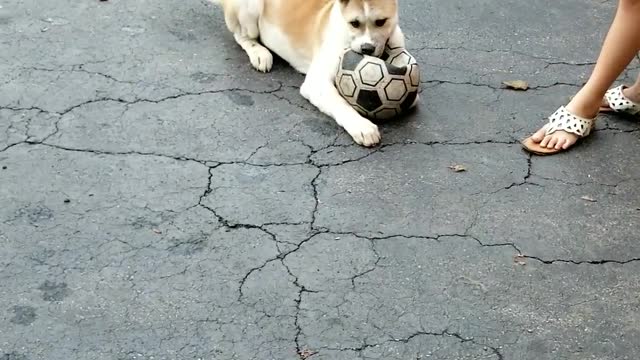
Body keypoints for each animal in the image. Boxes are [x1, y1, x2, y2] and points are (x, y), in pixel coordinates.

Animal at [212, 0, 408, 148]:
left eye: (381, 21)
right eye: (354, 23)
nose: (367, 48)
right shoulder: (316, 83)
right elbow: (340, 103)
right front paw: (360, 125)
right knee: (241, 36)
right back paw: (258, 52)